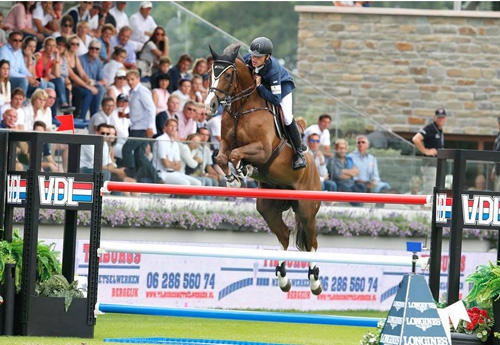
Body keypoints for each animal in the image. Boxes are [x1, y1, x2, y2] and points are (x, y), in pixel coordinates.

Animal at [204, 43, 324, 294]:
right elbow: (222, 157)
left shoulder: (264, 150)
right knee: (285, 235)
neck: (242, 107)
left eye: (227, 75)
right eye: (211, 72)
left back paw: (315, 281)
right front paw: (233, 178)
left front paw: (243, 171)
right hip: (268, 207)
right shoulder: (226, 142)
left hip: (306, 208)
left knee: (312, 242)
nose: (209, 105)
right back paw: (283, 278)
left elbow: (236, 154)